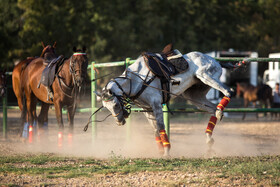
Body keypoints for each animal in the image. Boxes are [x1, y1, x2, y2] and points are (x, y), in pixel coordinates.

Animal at [97, 43, 240, 156]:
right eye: (107, 108)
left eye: (115, 105)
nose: (119, 122)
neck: (136, 79)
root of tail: (215, 60)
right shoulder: (148, 109)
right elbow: (155, 130)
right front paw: (161, 151)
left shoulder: (156, 104)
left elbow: (160, 126)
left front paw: (166, 151)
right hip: (194, 96)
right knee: (212, 109)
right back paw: (209, 138)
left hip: (206, 76)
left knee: (228, 91)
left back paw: (220, 112)